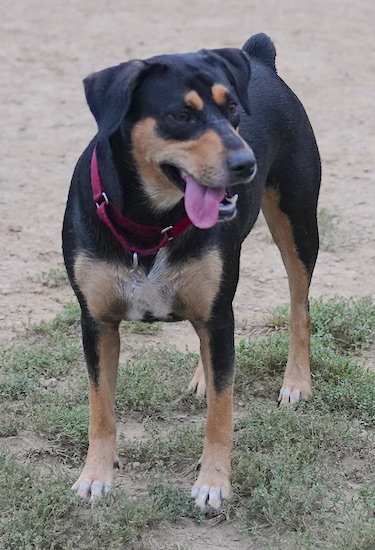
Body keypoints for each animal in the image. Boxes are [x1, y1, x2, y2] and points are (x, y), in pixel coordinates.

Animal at [61, 32, 320, 512]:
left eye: (233, 107)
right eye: (181, 115)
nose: (246, 163)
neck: (151, 220)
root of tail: (258, 56)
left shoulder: (219, 317)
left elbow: (222, 411)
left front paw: (213, 483)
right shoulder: (97, 322)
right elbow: (100, 407)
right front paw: (95, 476)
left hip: (297, 221)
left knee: (299, 305)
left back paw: (296, 382)